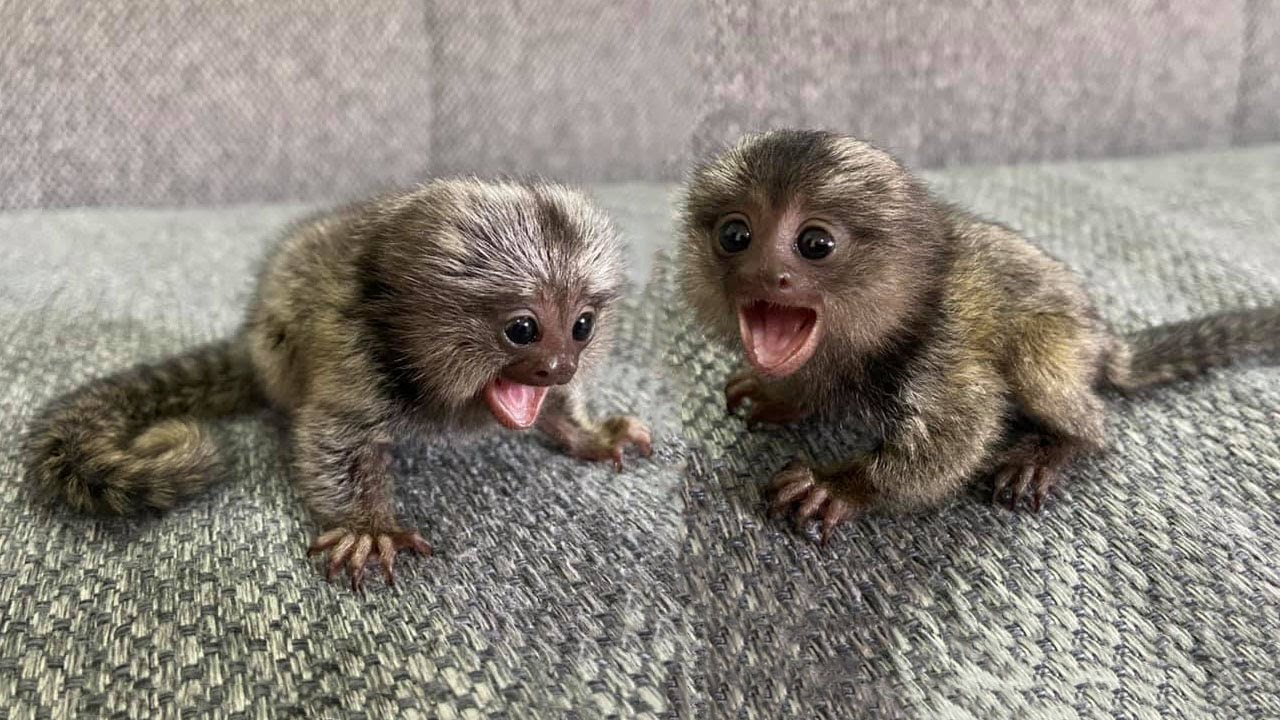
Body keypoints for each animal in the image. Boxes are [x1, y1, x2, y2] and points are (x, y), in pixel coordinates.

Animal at [26, 178, 653, 589]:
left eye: (581, 326)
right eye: (523, 329)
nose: (559, 365)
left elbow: (560, 411)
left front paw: (590, 435)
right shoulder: (358, 356)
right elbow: (335, 439)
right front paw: (368, 528)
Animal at [678, 129, 1280, 543]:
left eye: (815, 244)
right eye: (735, 236)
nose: (763, 274)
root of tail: (1102, 338)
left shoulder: (937, 350)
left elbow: (961, 432)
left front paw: (840, 485)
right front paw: (781, 395)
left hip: (1060, 341)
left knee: (1051, 381)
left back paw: (1059, 446)